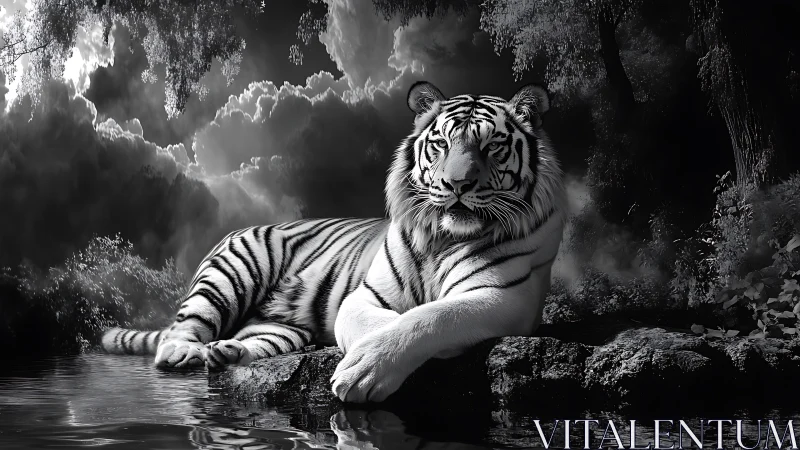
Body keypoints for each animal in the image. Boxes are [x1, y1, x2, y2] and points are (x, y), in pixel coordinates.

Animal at [101, 81, 567, 403]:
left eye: (493, 146)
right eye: (441, 144)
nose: (457, 184)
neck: (444, 236)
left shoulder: (503, 296)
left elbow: (430, 317)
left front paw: (364, 368)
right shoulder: (365, 296)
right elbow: (389, 320)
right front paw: (360, 362)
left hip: (279, 328)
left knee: (255, 337)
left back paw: (227, 353)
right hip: (228, 276)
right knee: (178, 331)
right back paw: (187, 354)